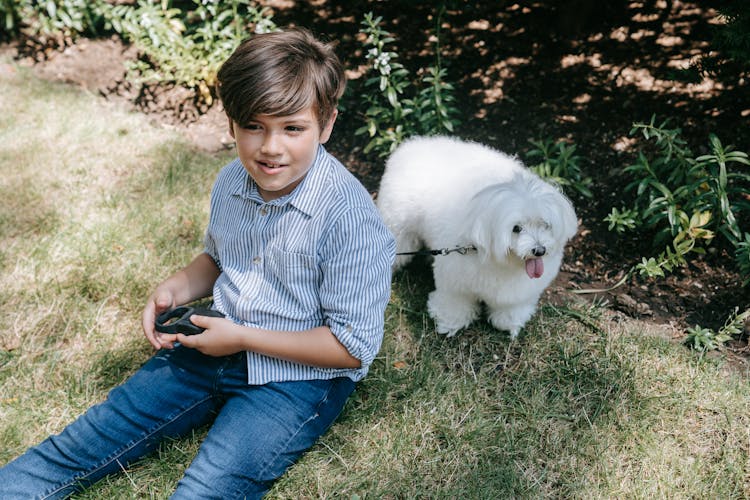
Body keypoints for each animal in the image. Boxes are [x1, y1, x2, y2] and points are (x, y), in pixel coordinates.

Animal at [378, 137, 580, 340]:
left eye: (545, 224)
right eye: (516, 228)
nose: (539, 251)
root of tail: (412, 145)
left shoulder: (518, 292)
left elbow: (511, 308)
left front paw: (509, 323)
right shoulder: (455, 283)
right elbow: (454, 303)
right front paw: (450, 323)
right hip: (399, 227)